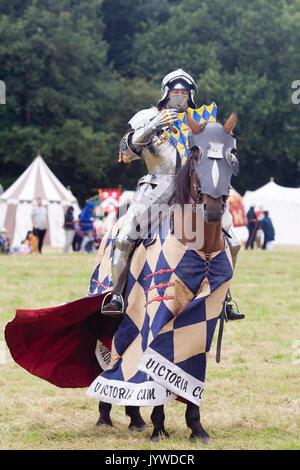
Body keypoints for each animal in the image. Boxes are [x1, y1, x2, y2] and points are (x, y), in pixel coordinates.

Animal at [94, 112, 239, 442]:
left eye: (232, 154)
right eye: (195, 152)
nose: (214, 208)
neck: (200, 246)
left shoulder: (205, 313)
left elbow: (188, 361)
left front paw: (196, 425)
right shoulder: (159, 307)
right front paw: (159, 425)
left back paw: (135, 417)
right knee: (114, 353)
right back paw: (106, 415)